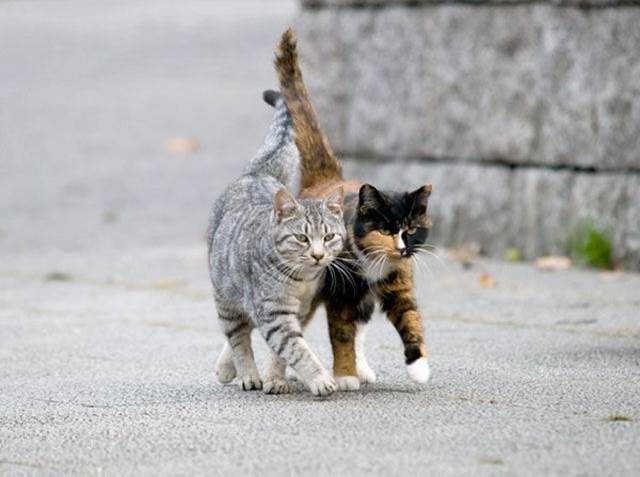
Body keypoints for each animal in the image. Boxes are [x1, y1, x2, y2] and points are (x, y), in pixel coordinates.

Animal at [206, 91, 344, 396]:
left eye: (329, 237)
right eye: (302, 238)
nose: (318, 255)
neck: (302, 280)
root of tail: (255, 174)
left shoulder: (298, 311)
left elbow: (282, 353)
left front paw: (276, 378)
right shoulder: (275, 314)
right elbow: (297, 349)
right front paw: (319, 379)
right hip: (226, 298)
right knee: (239, 338)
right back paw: (247, 375)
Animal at [272, 27, 432, 388]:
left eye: (411, 230)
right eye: (385, 229)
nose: (402, 248)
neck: (373, 262)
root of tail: (327, 179)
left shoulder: (399, 283)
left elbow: (410, 317)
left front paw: (419, 366)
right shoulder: (340, 294)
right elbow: (341, 333)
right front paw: (344, 375)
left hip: (362, 298)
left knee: (361, 324)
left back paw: (364, 368)